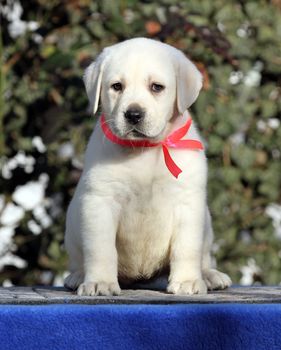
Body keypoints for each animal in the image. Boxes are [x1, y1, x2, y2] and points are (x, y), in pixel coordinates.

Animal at [64, 37, 231, 296]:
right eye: (116, 86)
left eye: (156, 87)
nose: (133, 114)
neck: (144, 151)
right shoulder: (100, 202)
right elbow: (101, 249)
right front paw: (100, 282)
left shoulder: (187, 203)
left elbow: (186, 248)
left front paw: (187, 281)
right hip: (72, 222)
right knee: (78, 258)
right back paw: (78, 275)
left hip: (207, 223)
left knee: (203, 257)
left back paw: (209, 276)